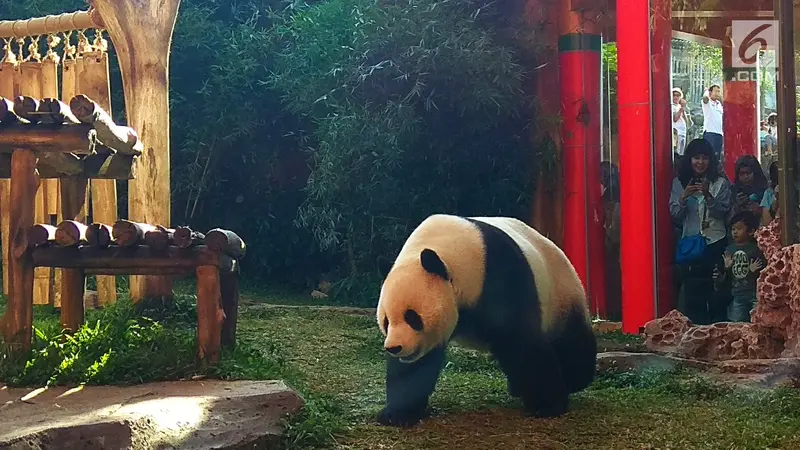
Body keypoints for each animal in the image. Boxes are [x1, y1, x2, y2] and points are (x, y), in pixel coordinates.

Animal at [374, 214, 592, 426]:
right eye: (386, 321)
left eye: (412, 317)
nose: (394, 348)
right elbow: (414, 368)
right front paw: (397, 414)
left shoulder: (501, 275)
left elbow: (522, 341)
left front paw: (547, 406)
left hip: (562, 296)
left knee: (571, 343)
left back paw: (574, 379)